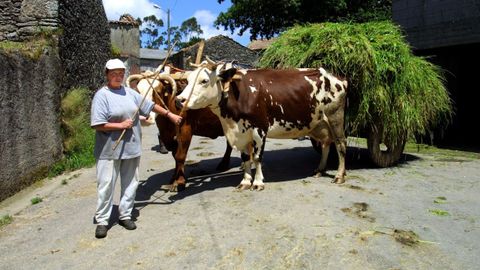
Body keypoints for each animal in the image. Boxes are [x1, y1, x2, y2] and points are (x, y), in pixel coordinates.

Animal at [178, 61, 346, 190]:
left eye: (204, 81)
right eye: (187, 80)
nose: (179, 100)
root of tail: (336, 77)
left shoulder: (259, 129)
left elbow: (258, 157)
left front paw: (258, 182)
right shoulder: (242, 132)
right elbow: (246, 157)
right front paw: (246, 181)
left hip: (335, 117)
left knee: (340, 145)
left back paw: (339, 175)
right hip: (319, 123)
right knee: (325, 144)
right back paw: (320, 169)